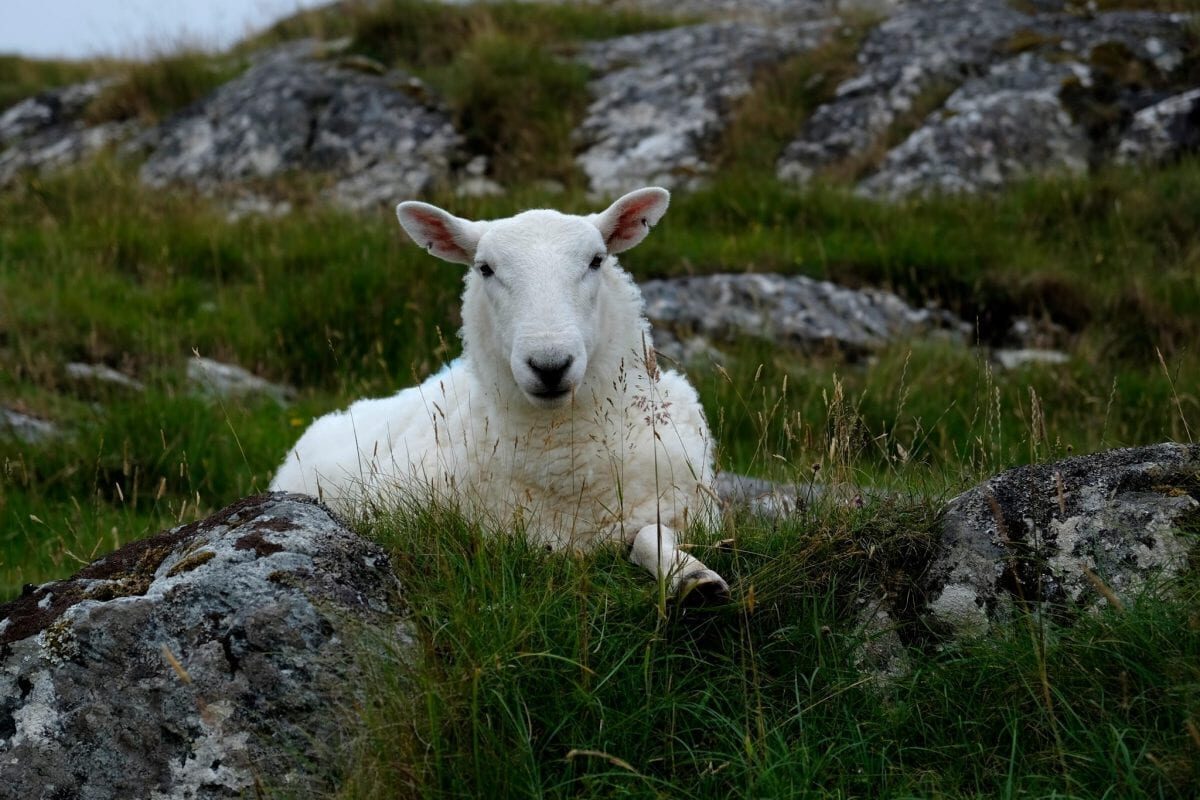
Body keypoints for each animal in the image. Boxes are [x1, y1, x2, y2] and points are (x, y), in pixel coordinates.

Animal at [269, 187, 730, 603]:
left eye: (596, 261)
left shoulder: (682, 506)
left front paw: (693, 577)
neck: (565, 460)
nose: (550, 364)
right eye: (485, 268)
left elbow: (652, 535)